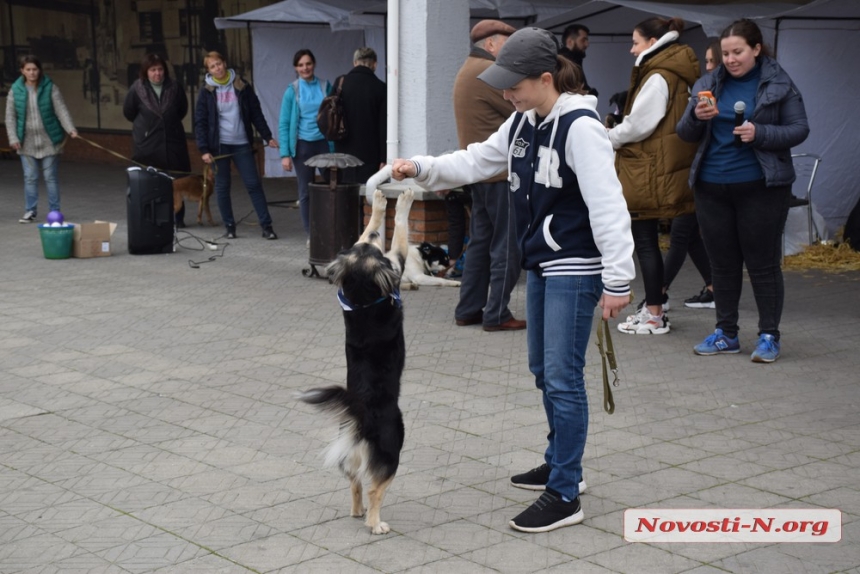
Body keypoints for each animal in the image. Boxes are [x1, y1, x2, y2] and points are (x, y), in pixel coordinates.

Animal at [298, 191, 414, 536]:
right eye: (373, 249)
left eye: (365, 245)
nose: (374, 236)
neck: (362, 296)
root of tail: (360, 414)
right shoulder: (396, 261)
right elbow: (400, 232)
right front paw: (400, 200)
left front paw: (377, 205)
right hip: (394, 446)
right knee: (375, 487)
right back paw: (375, 524)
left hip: (349, 451)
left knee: (355, 483)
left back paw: (356, 511)